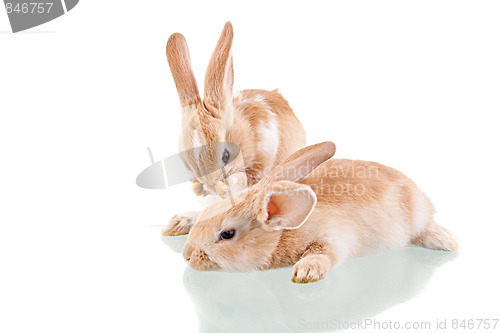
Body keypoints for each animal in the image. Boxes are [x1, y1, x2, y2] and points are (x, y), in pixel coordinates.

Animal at [163, 21, 304, 236]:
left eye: (226, 156)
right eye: (190, 165)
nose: (213, 186)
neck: (247, 135)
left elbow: (244, 181)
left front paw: (227, 188)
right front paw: (197, 190)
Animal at [182, 140, 458, 282]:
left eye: (227, 234)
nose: (186, 256)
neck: (284, 230)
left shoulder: (334, 237)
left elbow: (323, 253)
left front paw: (305, 272)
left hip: (418, 217)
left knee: (427, 227)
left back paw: (446, 242)